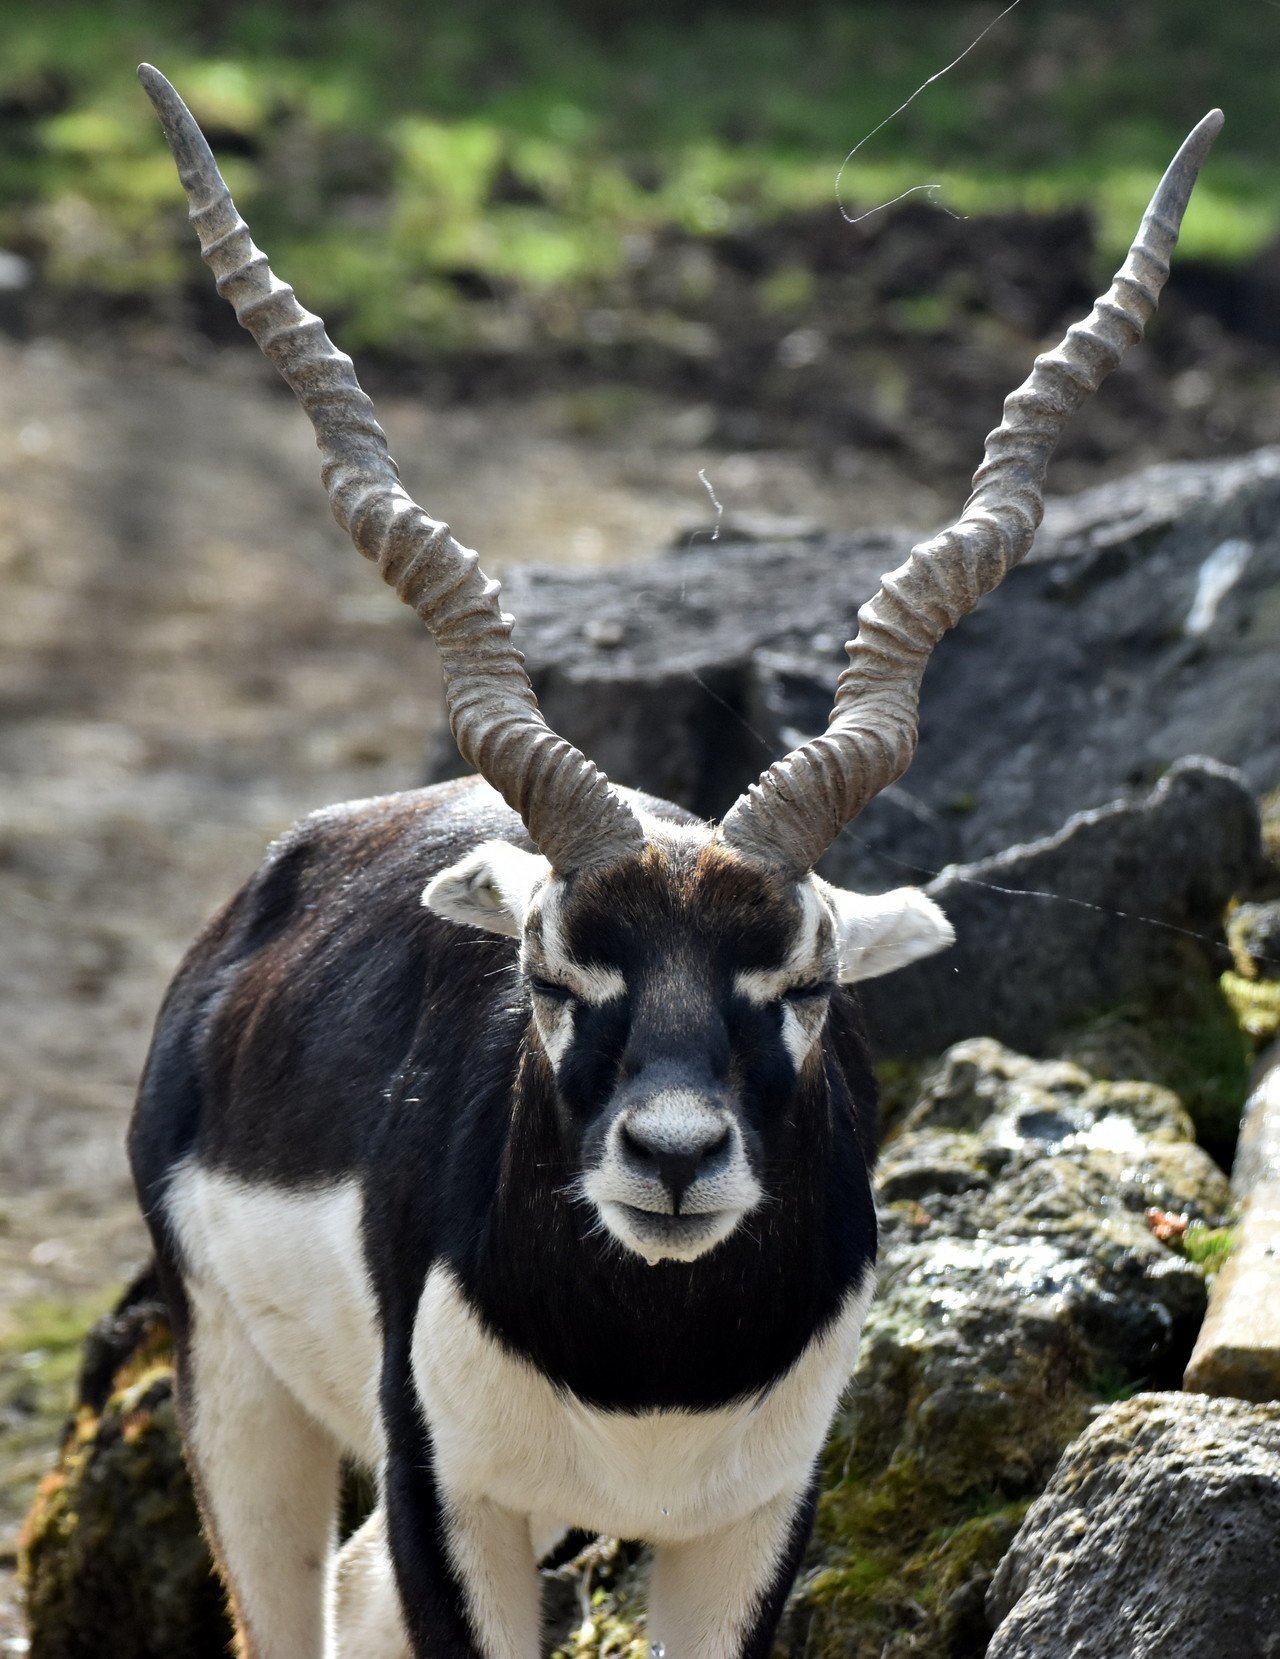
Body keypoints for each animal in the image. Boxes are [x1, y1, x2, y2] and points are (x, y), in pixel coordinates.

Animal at [127, 71, 1220, 1659]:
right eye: (552, 973)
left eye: (805, 981)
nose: (674, 1155)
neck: (651, 1361)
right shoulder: (449, 1495)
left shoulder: (758, 1517)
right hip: (239, 1389)